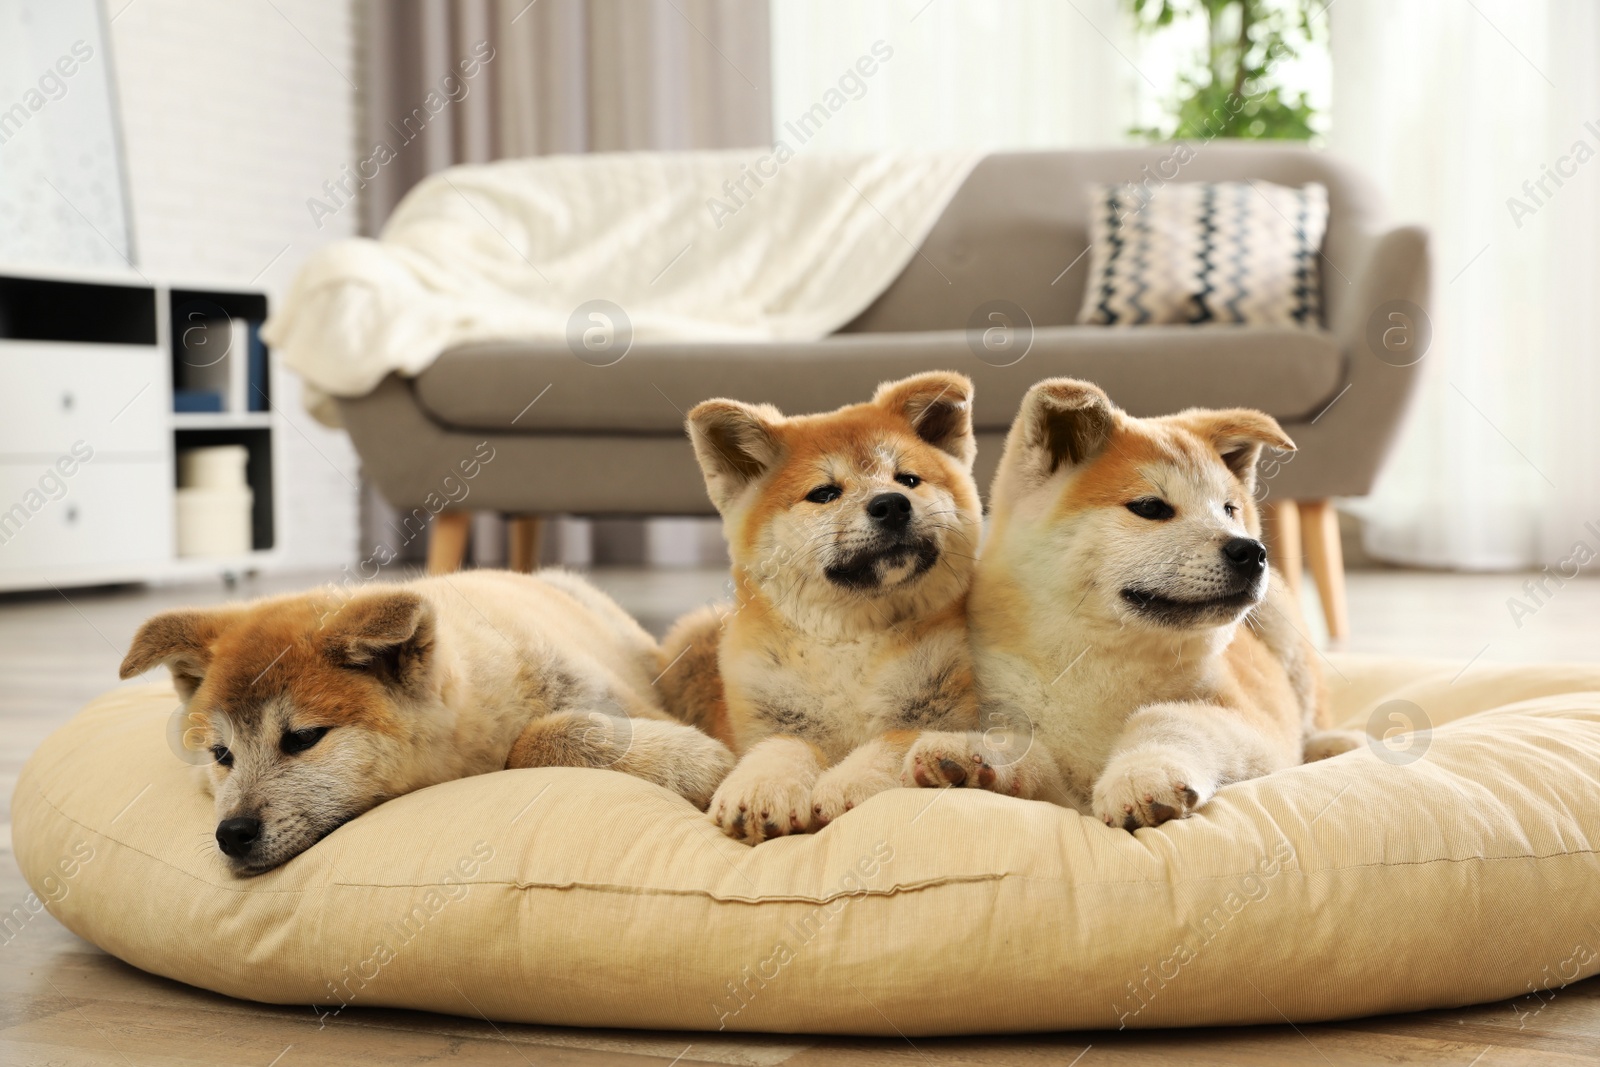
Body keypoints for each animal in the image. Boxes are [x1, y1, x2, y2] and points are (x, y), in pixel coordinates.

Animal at [118, 572, 732, 870]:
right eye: (221, 756)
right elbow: (531, 742)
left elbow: (539, 737)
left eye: (303, 738)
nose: (232, 834)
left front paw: (702, 762)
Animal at [652, 374, 979, 844]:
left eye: (908, 479)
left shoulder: (949, 710)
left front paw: (850, 782)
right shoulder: (767, 722)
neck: (852, 642)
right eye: (824, 494)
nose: (892, 504)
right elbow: (785, 745)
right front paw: (761, 786)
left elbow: (895, 739)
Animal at [908, 379, 1356, 831]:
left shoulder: (1257, 729)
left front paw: (1141, 775)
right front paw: (971, 757)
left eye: (1230, 509)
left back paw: (1334, 744)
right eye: (1151, 507)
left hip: (1281, 625)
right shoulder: (1052, 775)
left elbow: (1165, 717)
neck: (1098, 660)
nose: (1250, 551)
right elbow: (1030, 752)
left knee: (1313, 718)